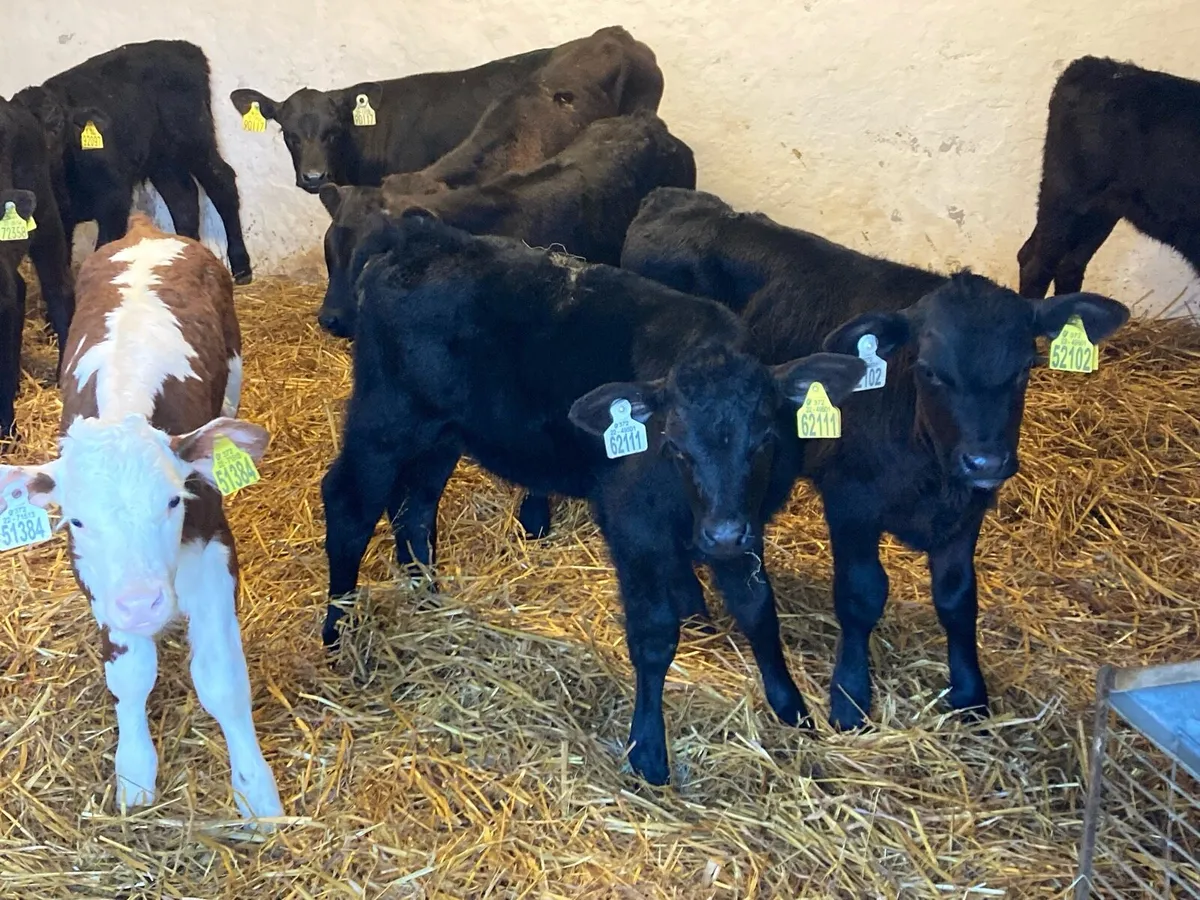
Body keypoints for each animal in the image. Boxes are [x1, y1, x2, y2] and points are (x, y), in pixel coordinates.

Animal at [0, 214, 282, 823]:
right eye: (77, 521)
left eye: (173, 501)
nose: (142, 604)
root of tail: (147, 229)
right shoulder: (94, 577)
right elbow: (129, 676)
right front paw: (134, 772)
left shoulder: (214, 547)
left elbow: (222, 679)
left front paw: (256, 792)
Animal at [13, 40, 253, 283]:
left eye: (59, 125)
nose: (42, 156)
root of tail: (184, 47)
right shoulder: (58, 219)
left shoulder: (115, 201)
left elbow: (104, 248)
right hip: (163, 160)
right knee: (183, 199)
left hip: (195, 138)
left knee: (222, 185)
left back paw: (241, 267)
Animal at [319, 213, 865, 784]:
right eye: (675, 446)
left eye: (763, 439)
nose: (719, 535)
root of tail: (419, 236)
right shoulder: (635, 525)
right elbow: (654, 635)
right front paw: (647, 751)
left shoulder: (743, 526)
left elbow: (758, 610)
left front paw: (794, 710)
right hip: (385, 417)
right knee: (349, 505)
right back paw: (338, 632)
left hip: (443, 433)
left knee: (416, 510)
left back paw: (429, 598)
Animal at [621, 187, 1130, 731]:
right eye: (930, 370)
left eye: (1025, 367)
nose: (984, 463)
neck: (930, 473)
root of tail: (670, 198)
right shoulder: (851, 500)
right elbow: (861, 595)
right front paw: (848, 697)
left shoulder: (967, 511)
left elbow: (957, 597)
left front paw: (970, 692)